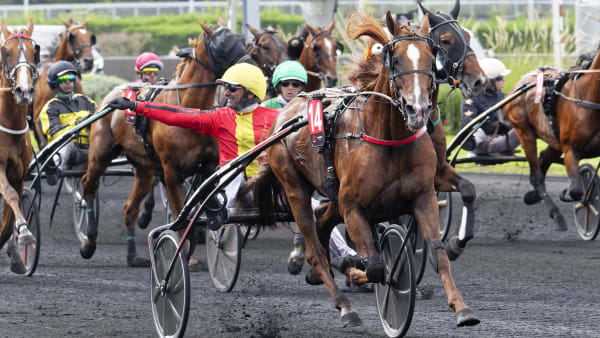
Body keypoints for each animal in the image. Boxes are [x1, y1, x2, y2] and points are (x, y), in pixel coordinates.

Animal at [79, 25, 246, 266]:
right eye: (222, 45)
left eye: (243, 39)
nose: (249, 66)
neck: (190, 111)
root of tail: (112, 93)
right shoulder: (171, 172)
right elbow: (179, 214)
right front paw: (184, 256)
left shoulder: (207, 166)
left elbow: (206, 197)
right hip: (100, 152)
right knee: (88, 184)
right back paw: (88, 242)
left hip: (144, 169)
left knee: (129, 208)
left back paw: (133, 256)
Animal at [252, 12, 478, 328]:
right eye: (396, 60)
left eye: (430, 56)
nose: (417, 109)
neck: (388, 137)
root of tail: (286, 112)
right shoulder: (354, 208)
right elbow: (376, 267)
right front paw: (363, 273)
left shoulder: (425, 192)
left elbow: (439, 250)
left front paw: (461, 306)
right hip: (294, 187)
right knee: (315, 246)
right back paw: (345, 304)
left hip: (333, 199)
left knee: (323, 224)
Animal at [504, 46, 600, 231]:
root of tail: (520, 84)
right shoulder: (570, 148)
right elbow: (576, 190)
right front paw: (569, 195)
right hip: (523, 130)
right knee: (537, 175)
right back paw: (556, 215)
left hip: (553, 142)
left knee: (543, 161)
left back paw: (532, 195)